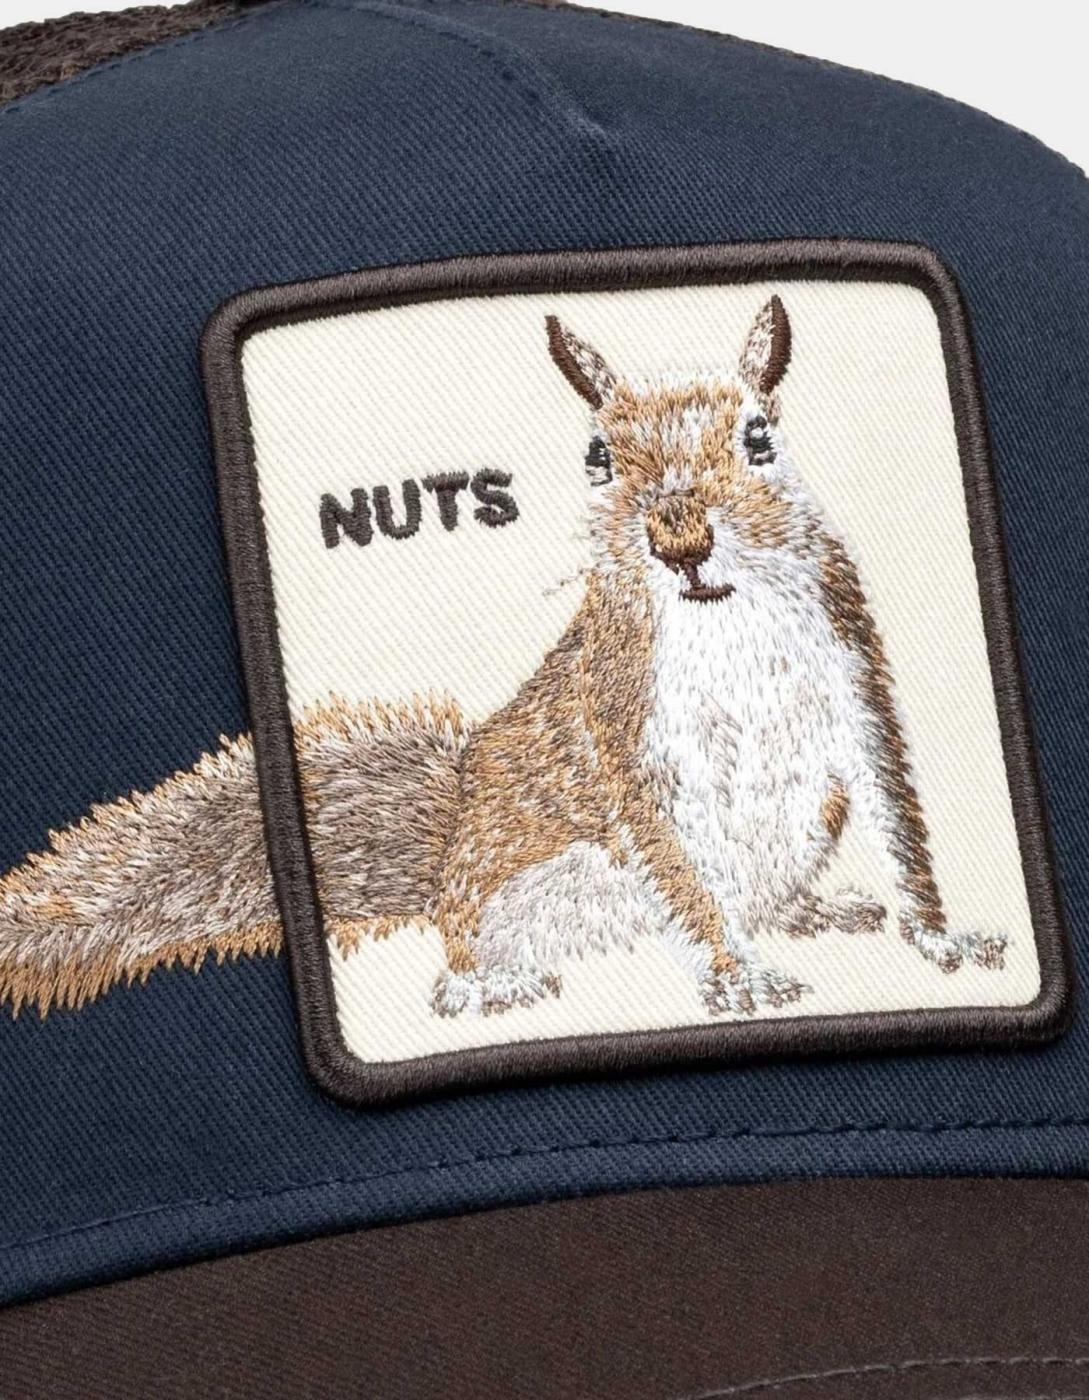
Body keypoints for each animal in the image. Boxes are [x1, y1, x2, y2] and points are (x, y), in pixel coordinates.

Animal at [0, 297, 1006, 1019]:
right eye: (598, 459)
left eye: (760, 439)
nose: (679, 541)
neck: (729, 624)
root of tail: (447, 865)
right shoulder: (622, 723)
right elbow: (677, 868)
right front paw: (738, 978)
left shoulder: (853, 677)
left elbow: (897, 817)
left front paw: (940, 938)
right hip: (532, 893)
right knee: (469, 961)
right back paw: (492, 986)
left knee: (764, 897)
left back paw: (811, 910)